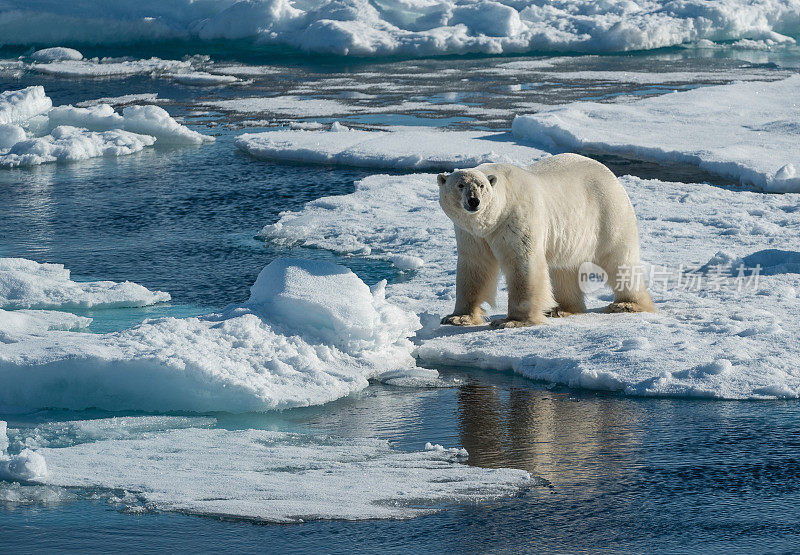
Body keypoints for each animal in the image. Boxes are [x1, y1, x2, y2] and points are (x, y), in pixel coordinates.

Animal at [440, 154, 652, 328]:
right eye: (460, 185)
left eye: (482, 186)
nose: (473, 201)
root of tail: (609, 173)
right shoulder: (471, 234)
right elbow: (475, 266)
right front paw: (457, 317)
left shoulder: (516, 218)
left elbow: (523, 264)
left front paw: (512, 321)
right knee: (564, 268)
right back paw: (562, 309)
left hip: (608, 213)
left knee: (618, 258)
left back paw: (626, 304)